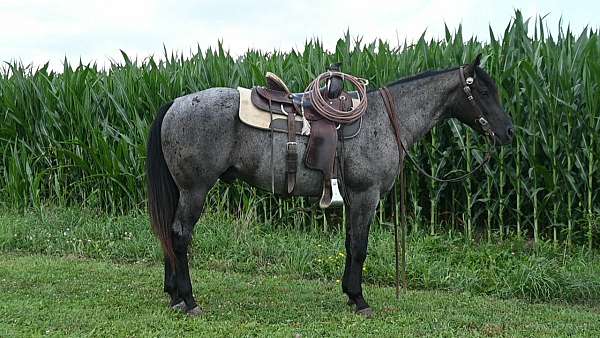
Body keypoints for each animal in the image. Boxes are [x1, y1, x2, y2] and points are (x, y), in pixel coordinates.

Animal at [146, 55, 516, 316]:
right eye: (483, 91)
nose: (509, 132)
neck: (383, 120)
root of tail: (176, 103)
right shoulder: (366, 196)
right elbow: (360, 247)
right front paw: (360, 300)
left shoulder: (354, 198)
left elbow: (351, 244)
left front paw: (350, 294)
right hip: (195, 189)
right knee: (179, 235)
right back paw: (189, 300)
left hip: (182, 191)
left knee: (168, 233)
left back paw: (173, 295)